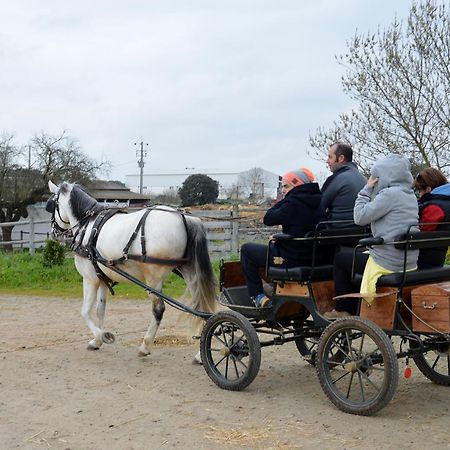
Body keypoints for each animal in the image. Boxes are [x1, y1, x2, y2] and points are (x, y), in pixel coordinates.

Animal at [48, 180, 217, 358]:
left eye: (52, 204)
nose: (52, 232)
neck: (88, 226)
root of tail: (186, 218)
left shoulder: (90, 279)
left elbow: (85, 311)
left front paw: (102, 336)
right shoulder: (102, 278)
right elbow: (100, 309)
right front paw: (97, 341)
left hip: (154, 278)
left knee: (159, 309)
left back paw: (145, 346)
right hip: (189, 272)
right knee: (201, 307)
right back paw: (199, 354)